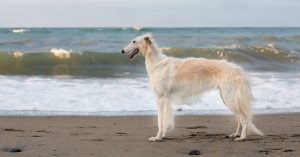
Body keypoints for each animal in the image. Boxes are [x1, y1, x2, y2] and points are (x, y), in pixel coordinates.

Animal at [121, 33, 262, 142]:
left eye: (134, 41)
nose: (122, 51)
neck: (157, 63)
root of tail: (238, 69)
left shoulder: (161, 99)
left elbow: (160, 121)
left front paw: (158, 137)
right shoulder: (166, 100)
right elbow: (165, 121)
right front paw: (163, 135)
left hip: (230, 98)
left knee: (244, 119)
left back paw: (242, 137)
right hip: (228, 98)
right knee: (239, 119)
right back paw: (236, 134)